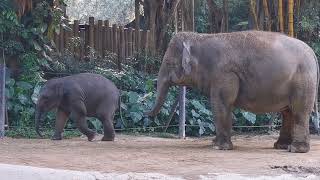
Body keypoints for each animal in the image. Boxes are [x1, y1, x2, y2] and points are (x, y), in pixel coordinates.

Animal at [146, 31, 318, 153]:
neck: (200, 38)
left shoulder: (224, 74)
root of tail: (313, 53)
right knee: (288, 112)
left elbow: (220, 103)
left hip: (303, 81)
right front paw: (214, 143)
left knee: (299, 111)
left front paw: (218, 147)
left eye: (169, 63)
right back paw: (281, 146)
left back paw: (295, 149)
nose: (147, 115)